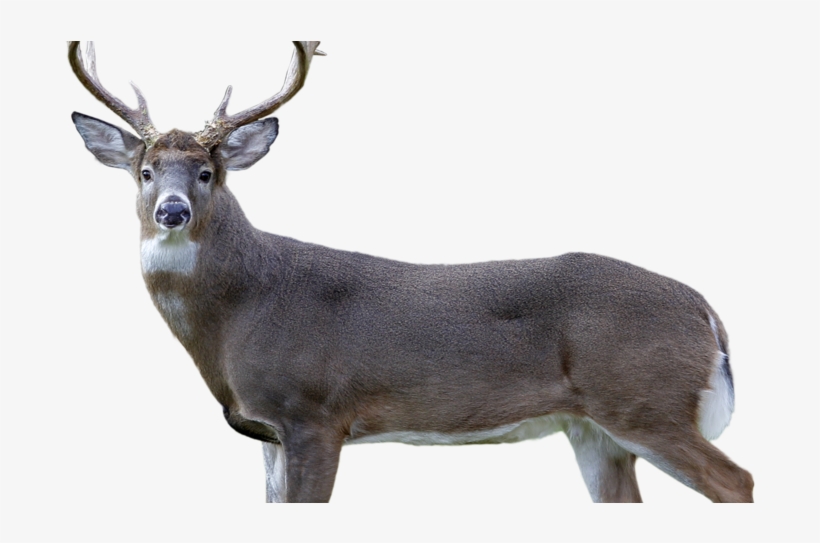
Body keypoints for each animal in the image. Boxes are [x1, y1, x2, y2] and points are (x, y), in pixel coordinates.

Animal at [69, 40, 754, 503]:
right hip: (596, 429)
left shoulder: (315, 412)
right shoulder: (267, 433)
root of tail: (707, 313)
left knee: (738, 481)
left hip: (644, 400)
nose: (173, 211)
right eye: (145, 172)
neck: (242, 312)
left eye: (208, 172)